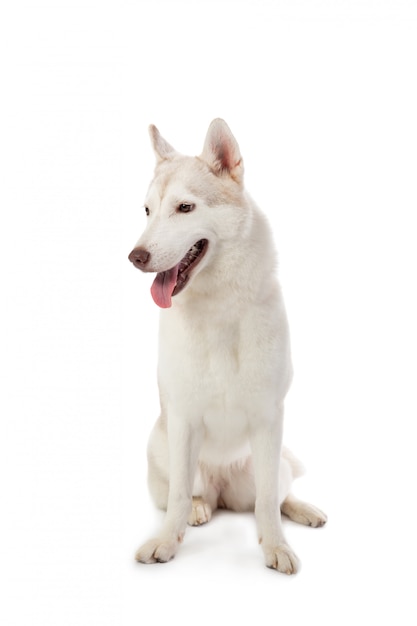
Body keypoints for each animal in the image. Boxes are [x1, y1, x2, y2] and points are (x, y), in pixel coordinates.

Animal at [127, 117, 324, 572]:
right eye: (147, 211)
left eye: (185, 208)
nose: (135, 256)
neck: (218, 309)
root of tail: (222, 488)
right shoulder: (183, 419)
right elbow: (179, 496)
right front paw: (167, 542)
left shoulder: (268, 419)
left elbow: (268, 503)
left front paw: (276, 546)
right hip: (163, 450)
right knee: (191, 494)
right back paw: (201, 508)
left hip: (268, 464)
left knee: (277, 494)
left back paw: (304, 510)